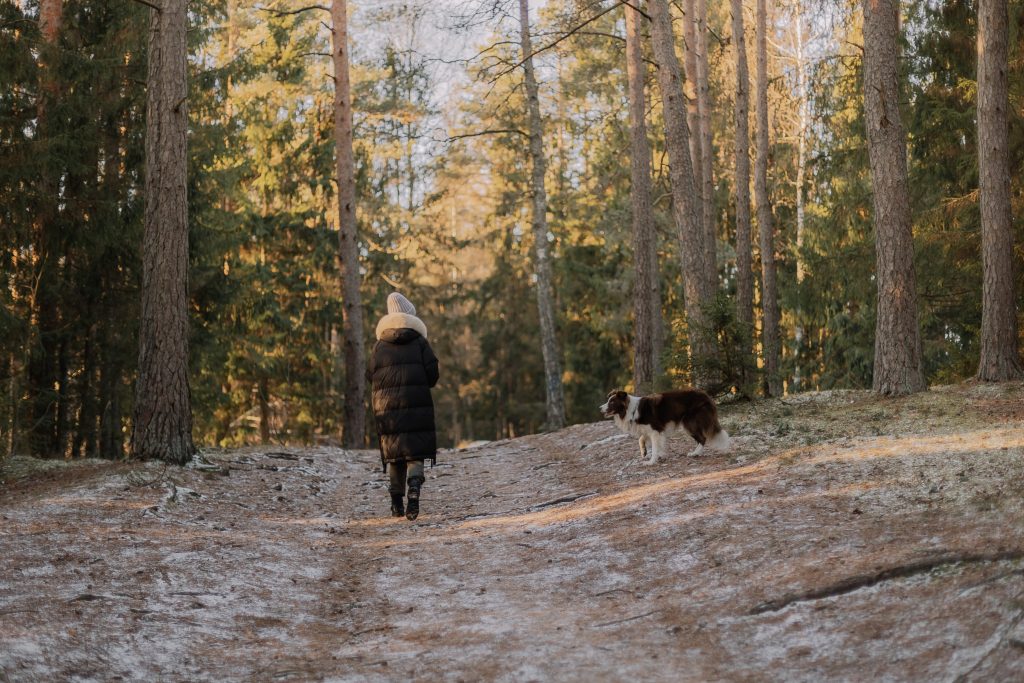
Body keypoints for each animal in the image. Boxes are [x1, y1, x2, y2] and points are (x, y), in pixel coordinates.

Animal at [598, 389, 733, 464]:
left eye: (612, 402)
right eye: (608, 400)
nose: (600, 408)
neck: (631, 410)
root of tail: (706, 395)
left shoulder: (655, 430)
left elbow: (654, 447)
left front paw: (652, 461)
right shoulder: (651, 430)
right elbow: (642, 439)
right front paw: (645, 452)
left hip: (689, 423)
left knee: (703, 438)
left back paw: (695, 453)